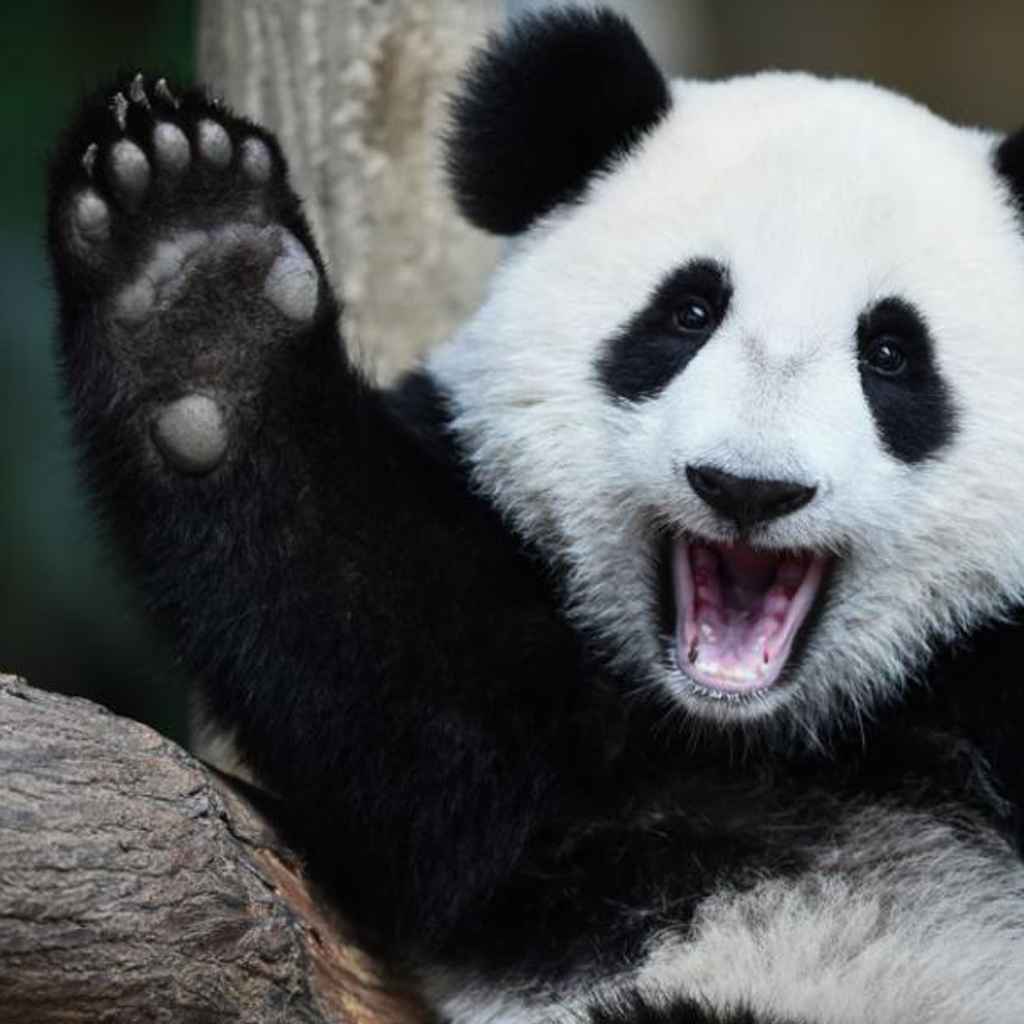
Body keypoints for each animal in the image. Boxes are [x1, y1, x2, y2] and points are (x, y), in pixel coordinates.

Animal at [46, 6, 1024, 1023]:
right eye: (688, 313)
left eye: (891, 354)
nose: (749, 487)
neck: (760, 736)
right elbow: (408, 697)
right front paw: (196, 273)